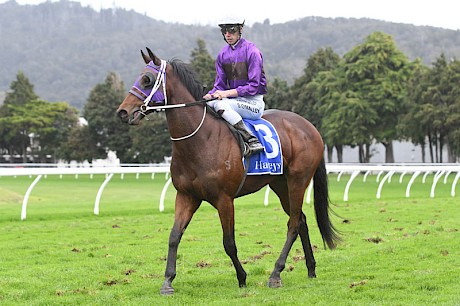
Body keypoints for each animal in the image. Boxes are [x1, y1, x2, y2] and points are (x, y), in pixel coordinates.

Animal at [117, 47, 340, 294]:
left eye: (147, 79)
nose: (123, 112)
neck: (200, 140)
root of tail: (310, 127)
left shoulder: (224, 199)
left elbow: (229, 243)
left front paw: (242, 277)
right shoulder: (186, 195)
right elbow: (174, 236)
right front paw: (167, 281)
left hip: (298, 180)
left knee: (292, 224)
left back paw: (275, 274)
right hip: (280, 184)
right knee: (300, 219)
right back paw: (310, 269)